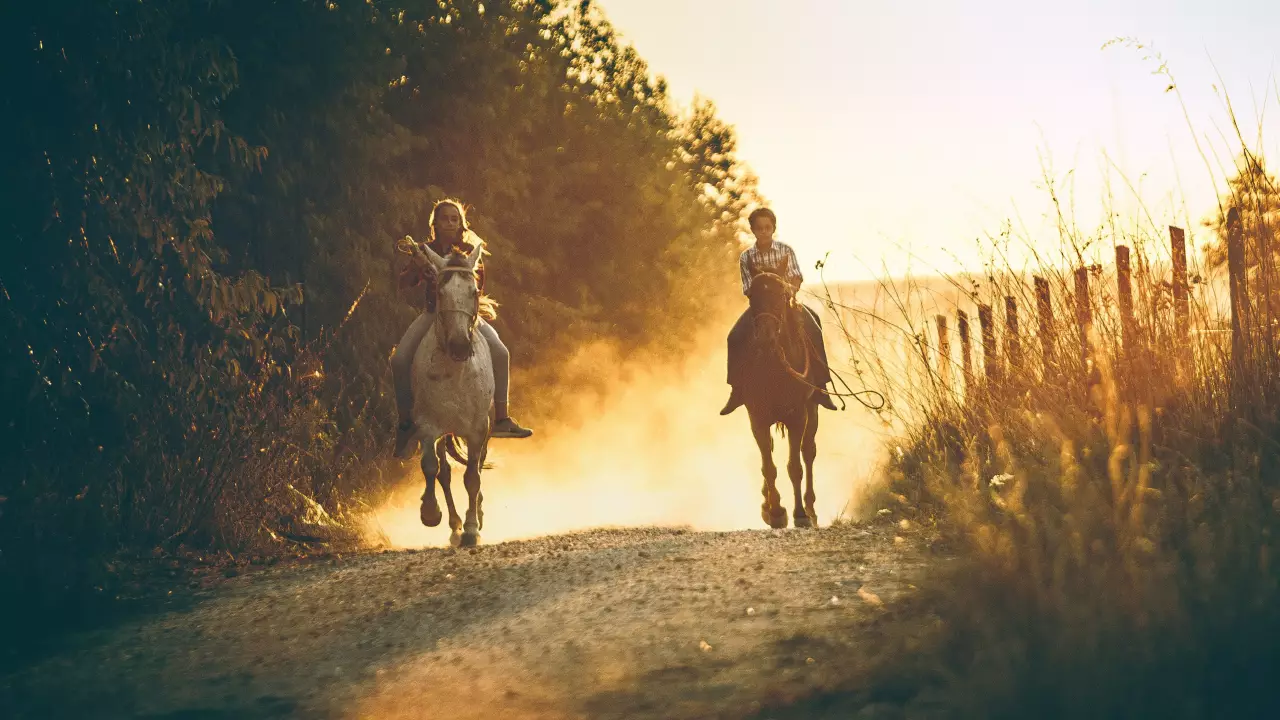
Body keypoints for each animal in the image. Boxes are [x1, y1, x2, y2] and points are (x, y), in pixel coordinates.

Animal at [404, 238, 494, 545]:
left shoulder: (478, 428)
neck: (455, 374)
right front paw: (431, 513)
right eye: (440, 292)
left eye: (474, 291)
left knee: (474, 468)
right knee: (443, 473)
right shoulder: (428, 425)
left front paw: (472, 528)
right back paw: (453, 524)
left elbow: (472, 477)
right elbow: (431, 467)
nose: (459, 346)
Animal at [742, 270, 819, 527]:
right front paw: (774, 511)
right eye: (752, 297)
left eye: (780, 296)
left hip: (812, 410)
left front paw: (800, 514)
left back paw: (811, 509)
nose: (765, 338)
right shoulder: (757, 418)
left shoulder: (797, 416)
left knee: (808, 452)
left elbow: (795, 466)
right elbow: (768, 466)